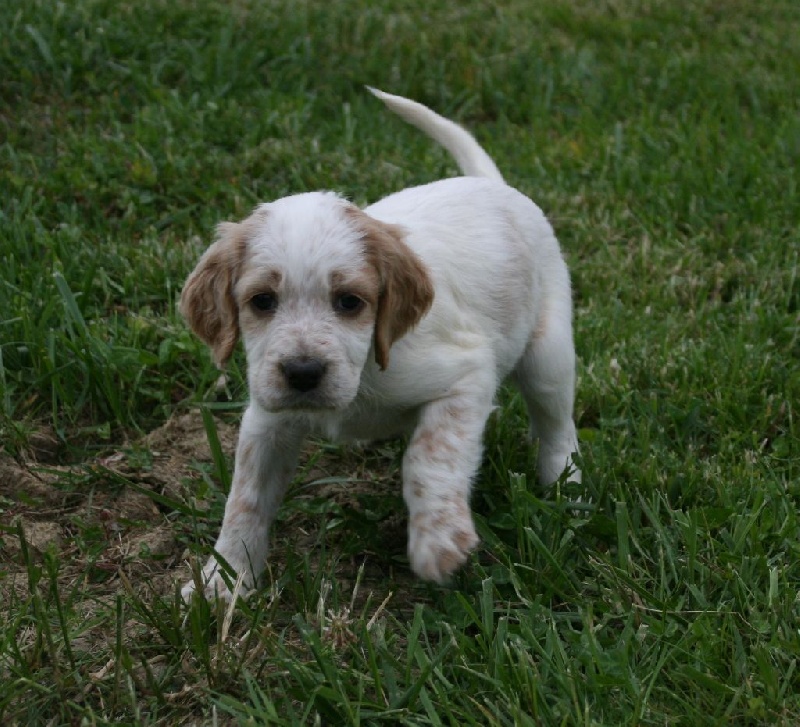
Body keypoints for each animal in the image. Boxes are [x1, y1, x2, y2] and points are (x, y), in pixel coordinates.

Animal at [180, 88, 581, 601]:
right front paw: (223, 581)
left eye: (350, 302)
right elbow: (245, 497)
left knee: (557, 426)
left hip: (547, 353)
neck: (365, 373)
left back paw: (567, 492)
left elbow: (429, 457)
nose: (303, 373)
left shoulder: (467, 375)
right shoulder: (268, 419)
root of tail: (489, 184)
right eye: (261, 301)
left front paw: (438, 540)